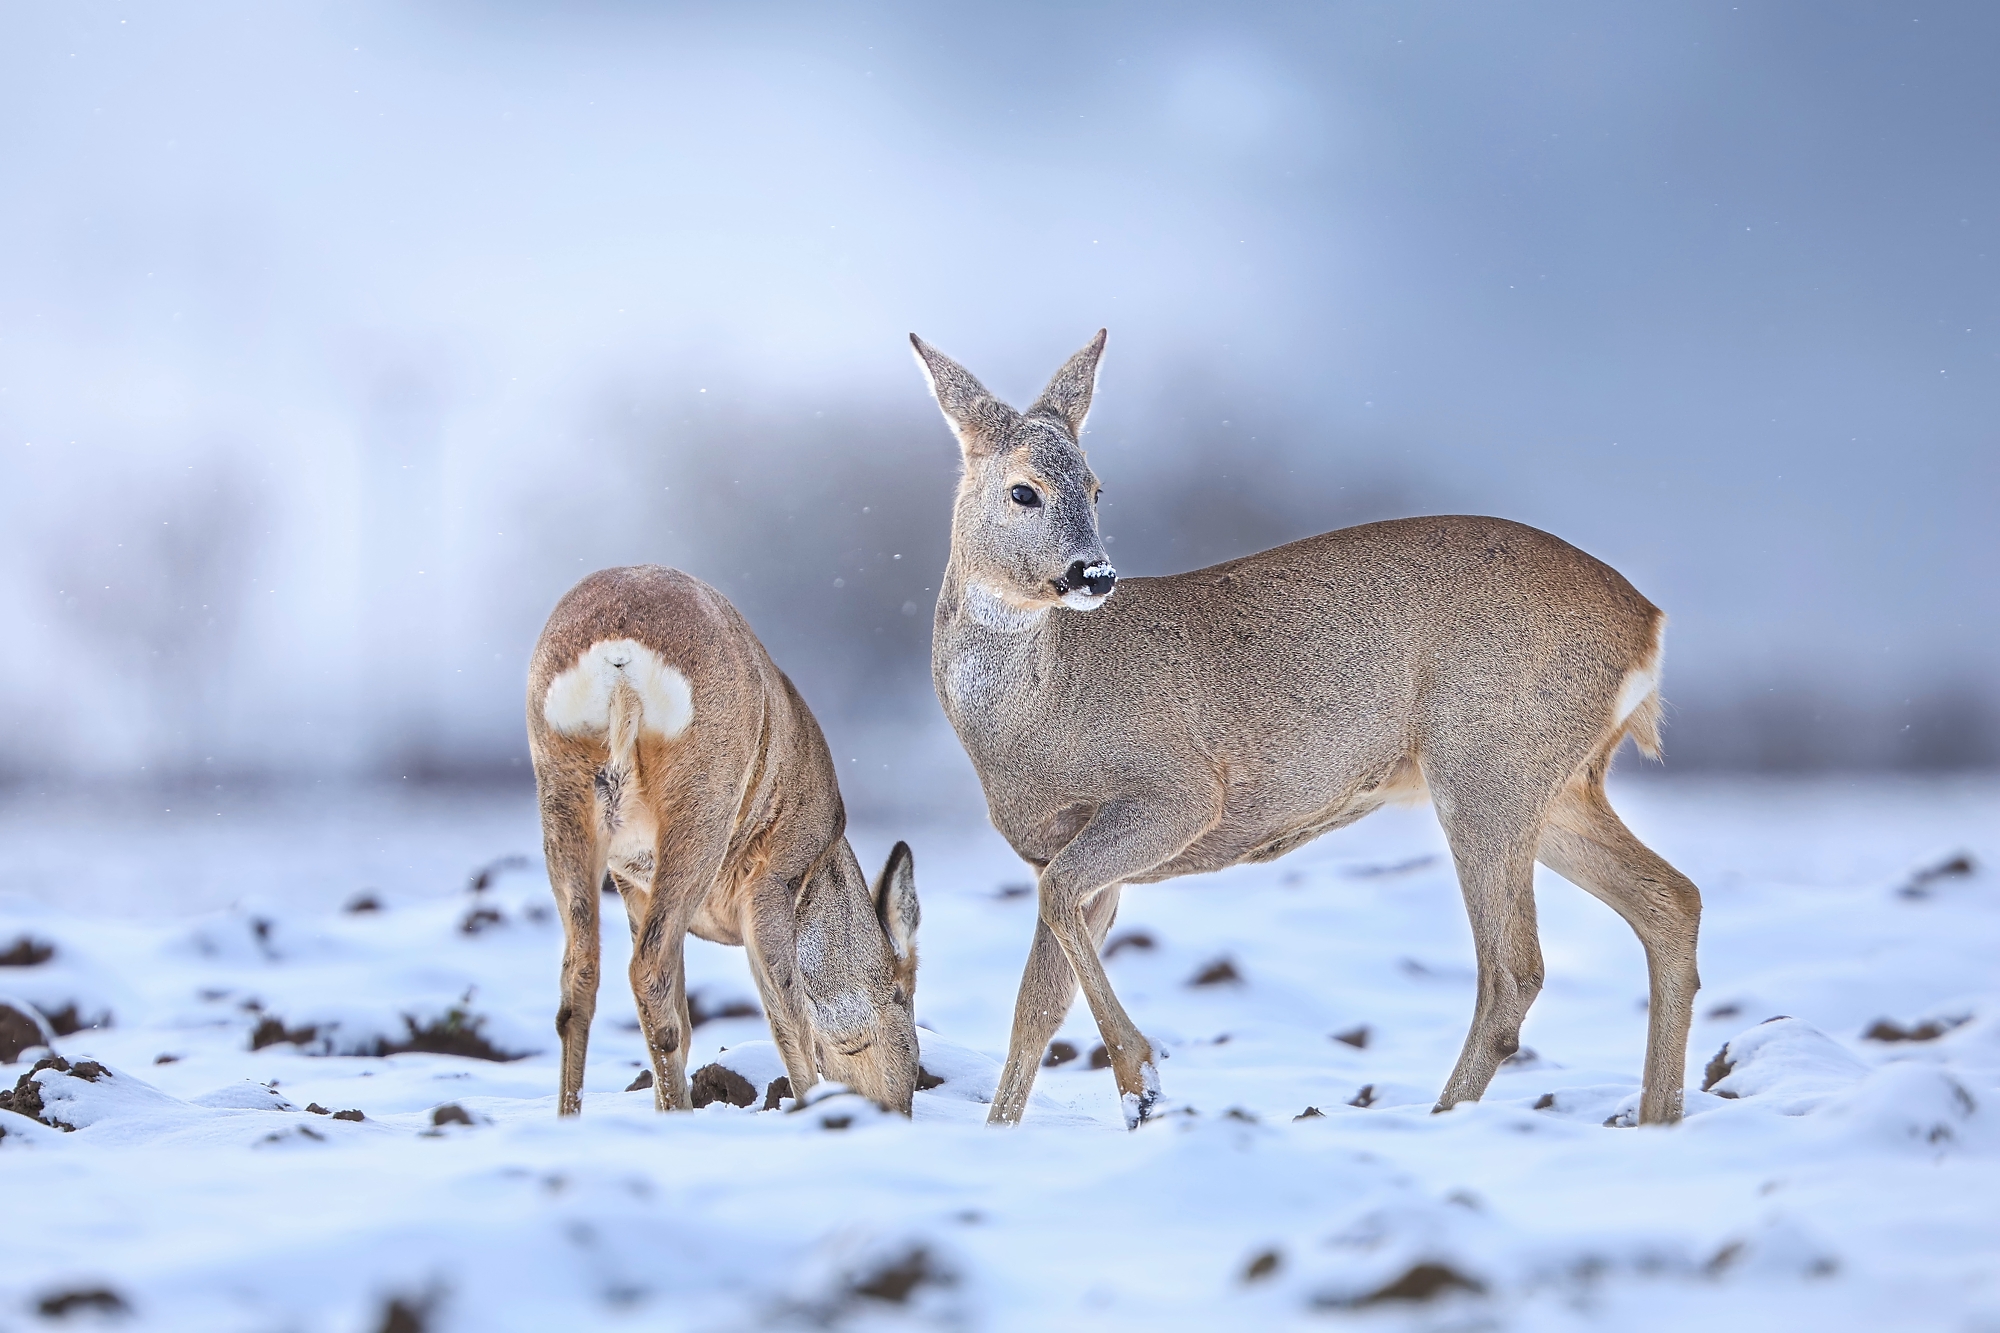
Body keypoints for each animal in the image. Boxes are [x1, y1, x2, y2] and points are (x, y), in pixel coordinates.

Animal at [520, 560, 916, 1112]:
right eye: (905, 995)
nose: (902, 1105)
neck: (823, 858)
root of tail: (617, 655)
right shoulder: (773, 877)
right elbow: (788, 1014)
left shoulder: (631, 883)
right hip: (703, 802)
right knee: (649, 972)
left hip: (563, 795)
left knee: (581, 978)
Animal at [916, 330, 1696, 1120]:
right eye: (1025, 490)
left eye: (1097, 487)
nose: (1093, 574)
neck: (1035, 715)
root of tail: (1648, 624)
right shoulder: (1060, 847)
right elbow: (1036, 1005)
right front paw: (1009, 1129)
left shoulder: (1178, 790)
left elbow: (1054, 915)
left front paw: (1141, 1079)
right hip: (1556, 779)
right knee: (1671, 902)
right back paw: (1657, 1118)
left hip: (1487, 763)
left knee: (1515, 970)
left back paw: (1446, 1117)